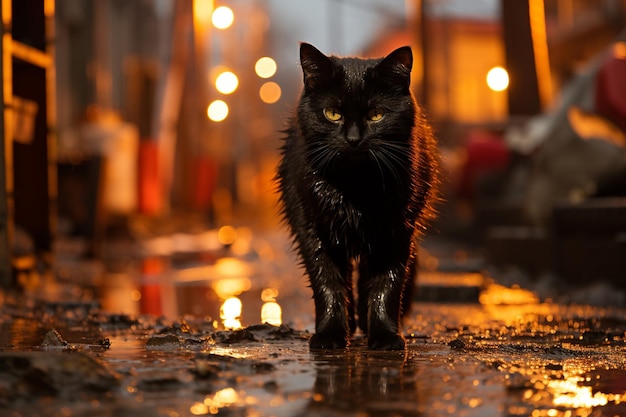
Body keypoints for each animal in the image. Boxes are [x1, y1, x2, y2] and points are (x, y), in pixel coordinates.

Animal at [276, 43, 436, 348]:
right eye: (332, 113)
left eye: (376, 114)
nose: (352, 139)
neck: (355, 188)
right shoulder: (311, 227)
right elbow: (327, 281)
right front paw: (331, 334)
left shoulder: (398, 229)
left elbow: (388, 283)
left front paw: (385, 335)